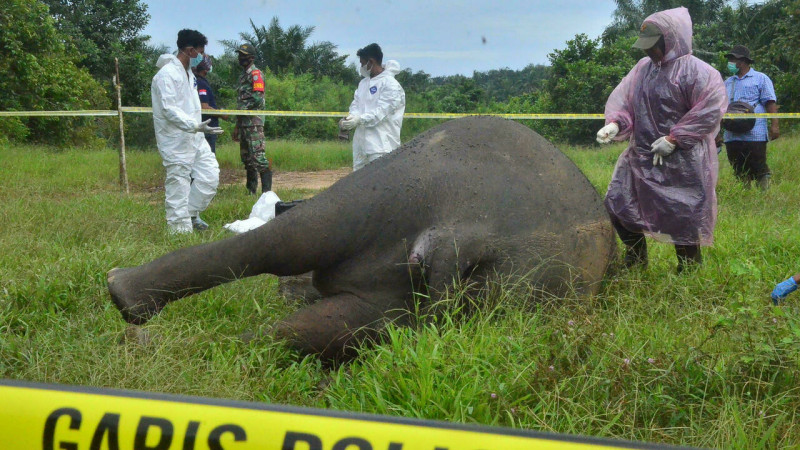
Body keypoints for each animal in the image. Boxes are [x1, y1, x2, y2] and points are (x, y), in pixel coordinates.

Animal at [108, 116, 616, 360]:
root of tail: (471, 232)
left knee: (305, 295)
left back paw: (134, 322)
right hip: (409, 185)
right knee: (299, 246)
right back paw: (129, 309)